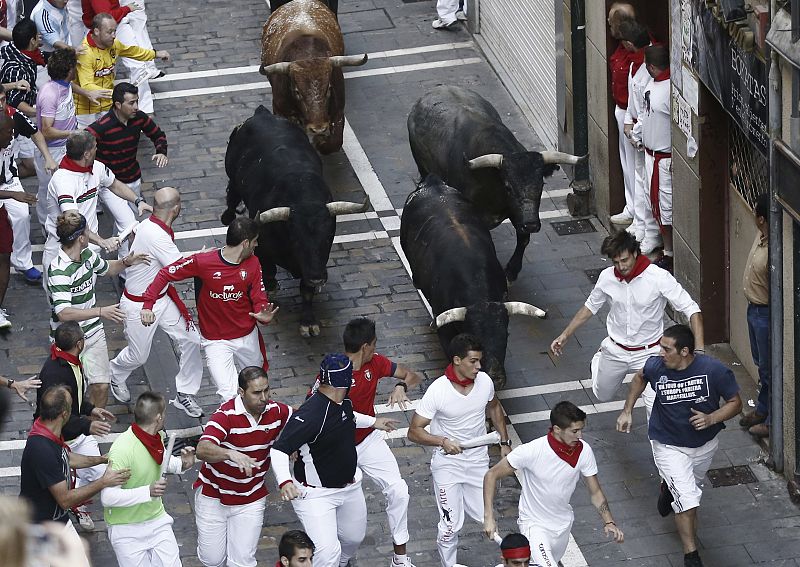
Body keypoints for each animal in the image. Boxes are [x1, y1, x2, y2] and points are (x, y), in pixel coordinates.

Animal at [223, 106, 370, 338]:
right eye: (296, 240)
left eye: (328, 239)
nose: (318, 278)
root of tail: (262, 114)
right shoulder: (262, 248)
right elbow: (268, 270)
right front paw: (271, 287)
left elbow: (306, 291)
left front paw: (308, 321)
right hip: (233, 176)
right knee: (232, 195)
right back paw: (227, 216)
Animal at [260, 0, 366, 154]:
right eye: (297, 92)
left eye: (329, 88)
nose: (318, 128)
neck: (308, 55)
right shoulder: (280, 109)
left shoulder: (338, 110)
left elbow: (335, 142)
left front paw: (320, 142)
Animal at [410, 85, 584, 284]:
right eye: (508, 186)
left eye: (541, 185)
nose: (531, 225)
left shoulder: (518, 213)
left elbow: (523, 238)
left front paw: (512, 270)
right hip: (422, 167)